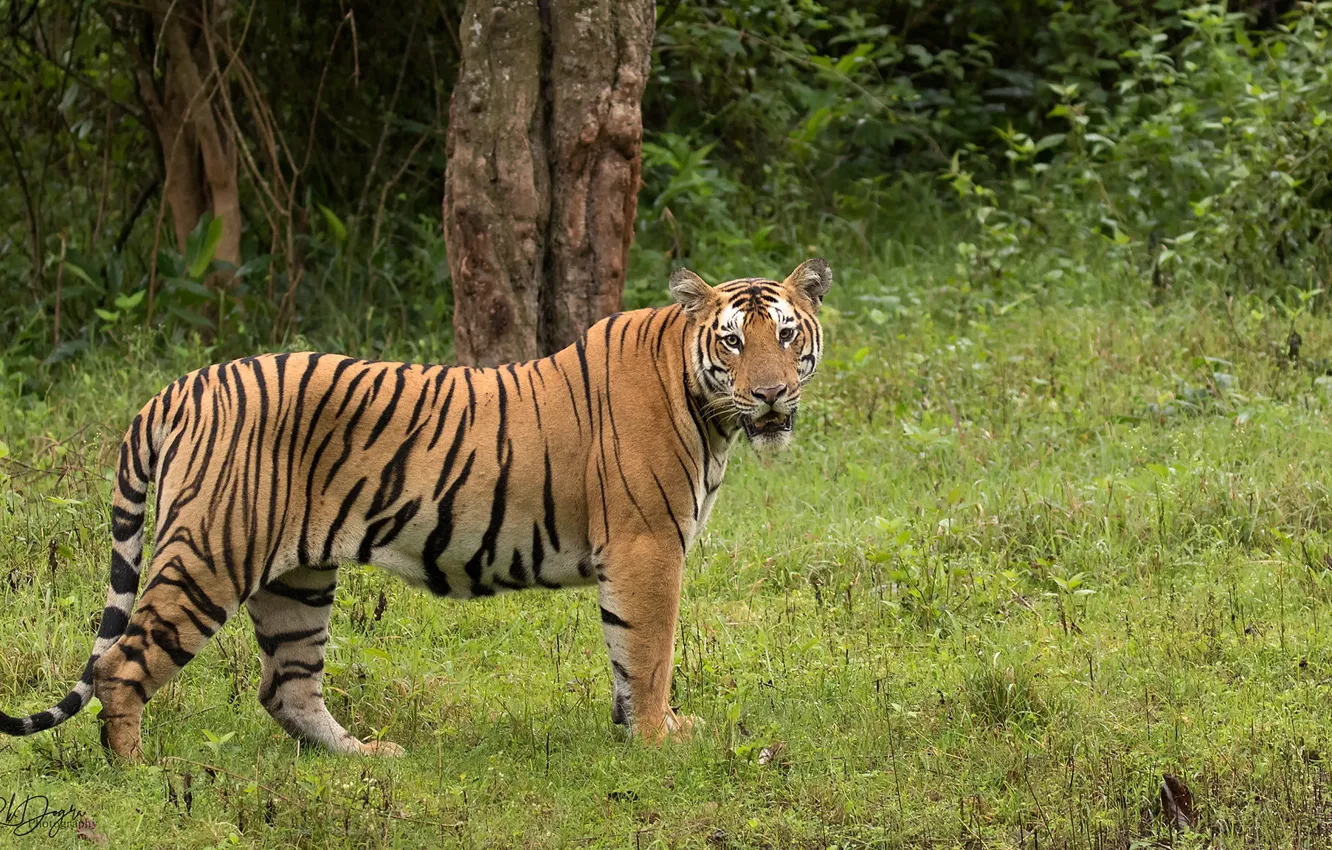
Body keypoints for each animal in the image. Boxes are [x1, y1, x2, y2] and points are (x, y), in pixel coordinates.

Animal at [0, 259, 831, 760]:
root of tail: (181, 386)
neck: (706, 405)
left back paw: (364, 759)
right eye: (733, 342)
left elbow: (628, 656)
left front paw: (638, 733)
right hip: (209, 554)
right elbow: (650, 652)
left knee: (286, 686)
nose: (770, 395)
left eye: (787, 336)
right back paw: (137, 773)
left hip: (296, 578)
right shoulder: (647, 546)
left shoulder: (638, 554)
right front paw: (660, 740)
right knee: (122, 664)